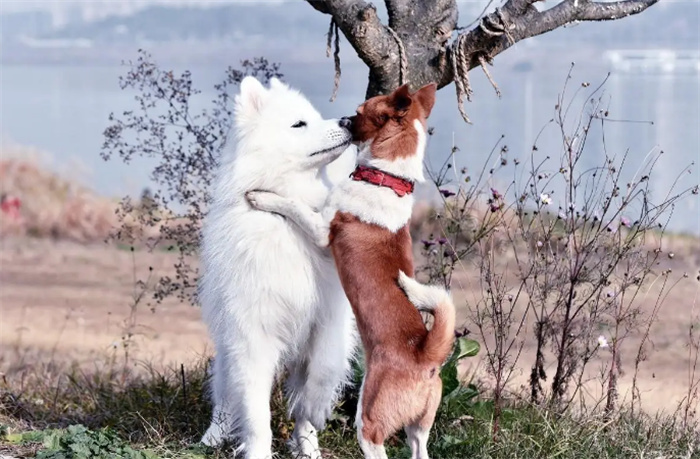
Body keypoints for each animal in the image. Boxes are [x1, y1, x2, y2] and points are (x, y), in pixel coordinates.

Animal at [200, 77, 358, 458]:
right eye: (299, 125)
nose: (347, 120)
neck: (288, 223)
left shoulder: (330, 321)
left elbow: (322, 375)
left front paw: (315, 412)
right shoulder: (251, 337)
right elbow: (256, 413)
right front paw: (257, 451)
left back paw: (309, 448)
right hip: (228, 350)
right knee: (225, 398)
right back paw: (212, 437)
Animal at [246, 83, 454, 459]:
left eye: (359, 112)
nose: (343, 118)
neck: (388, 180)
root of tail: (424, 357)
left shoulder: (320, 230)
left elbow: (293, 205)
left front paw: (263, 196)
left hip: (369, 422)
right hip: (419, 430)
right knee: (420, 447)